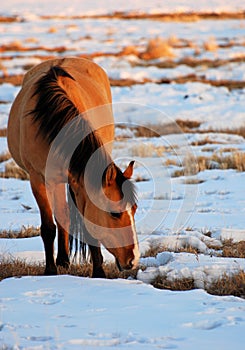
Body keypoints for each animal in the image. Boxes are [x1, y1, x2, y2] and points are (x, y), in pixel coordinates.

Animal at [7, 56, 140, 276]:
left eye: (135, 209)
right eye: (115, 213)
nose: (133, 259)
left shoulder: (80, 184)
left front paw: (99, 273)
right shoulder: (39, 179)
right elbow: (48, 227)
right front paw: (50, 270)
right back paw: (61, 260)